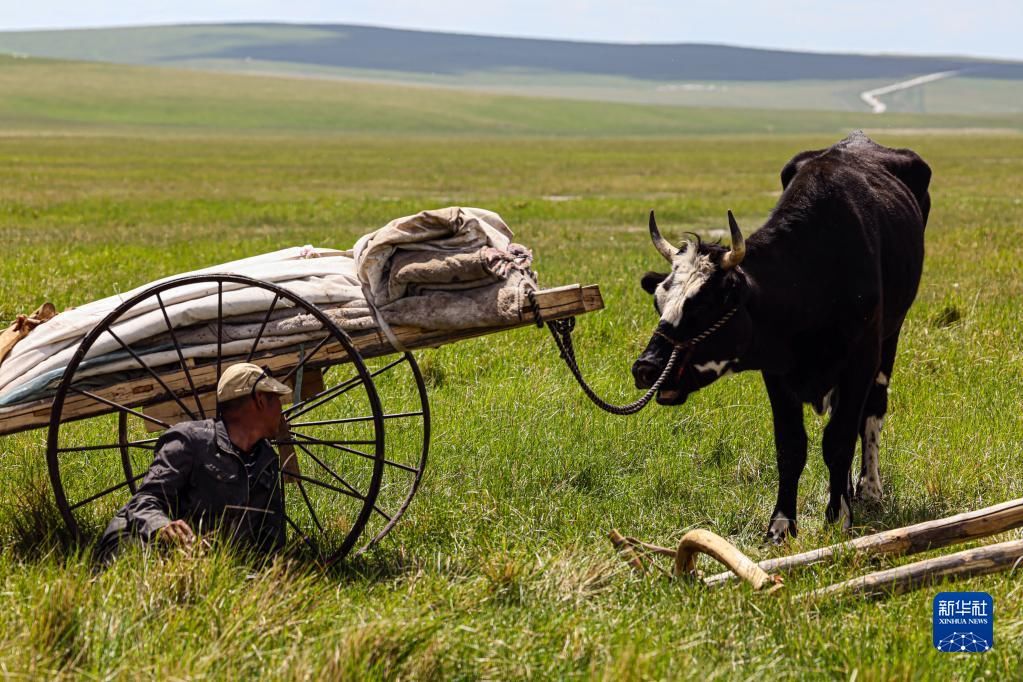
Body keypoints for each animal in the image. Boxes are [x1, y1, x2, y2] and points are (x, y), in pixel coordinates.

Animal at [630, 130, 928, 539]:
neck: (813, 275)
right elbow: (791, 446)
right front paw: (782, 525)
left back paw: (868, 489)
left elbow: (838, 438)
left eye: (703, 305)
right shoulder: (777, 373)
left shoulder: (860, 361)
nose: (646, 368)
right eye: (659, 301)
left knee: (872, 411)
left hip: (890, 338)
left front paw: (839, 516)